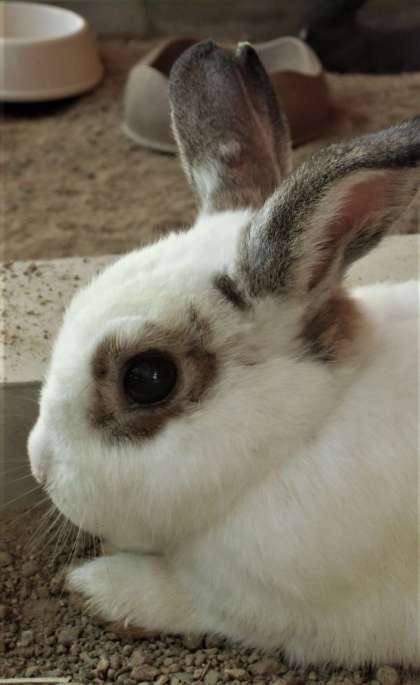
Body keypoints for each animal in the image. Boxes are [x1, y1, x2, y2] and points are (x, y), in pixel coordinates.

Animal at [28, 41, 420, 667]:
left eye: (148, 377)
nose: (39, 465)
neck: (304, 435)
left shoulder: (259, 607)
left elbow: (176, 598)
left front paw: (94, 586)